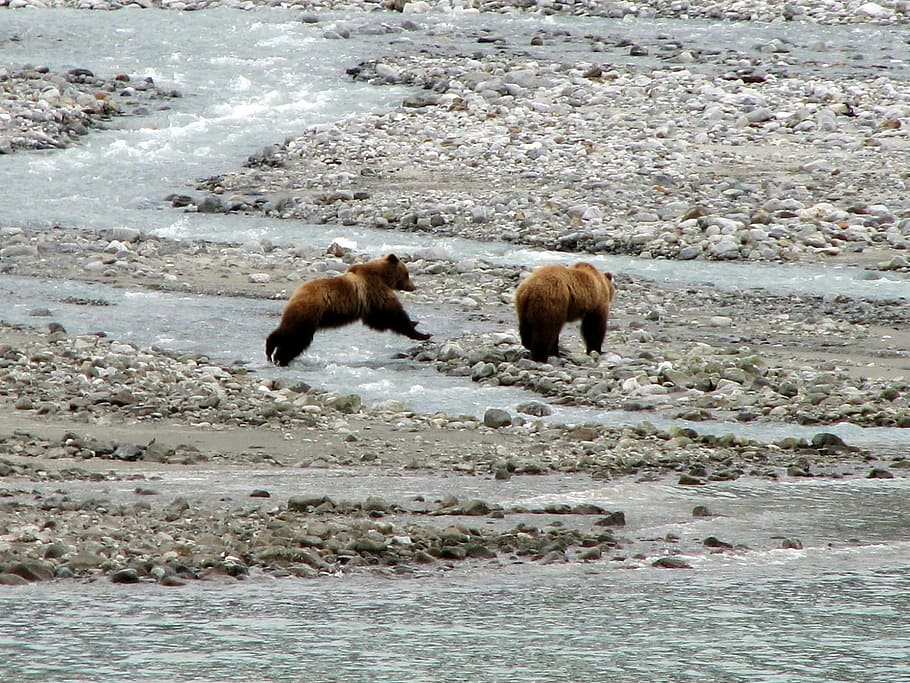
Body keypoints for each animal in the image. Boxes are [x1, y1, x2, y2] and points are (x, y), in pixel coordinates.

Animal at [265, 253, 431, 366]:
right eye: (407, 274)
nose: (414, 287)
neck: (383, 277)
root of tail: (295, 293)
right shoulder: (374, 291)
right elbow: (392, 315)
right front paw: (421, 332)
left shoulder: (369, 302)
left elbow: (377, 321)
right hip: (309, 312)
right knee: (295, 337)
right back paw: (276, 353)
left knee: (291, 335)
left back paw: (276, 356)